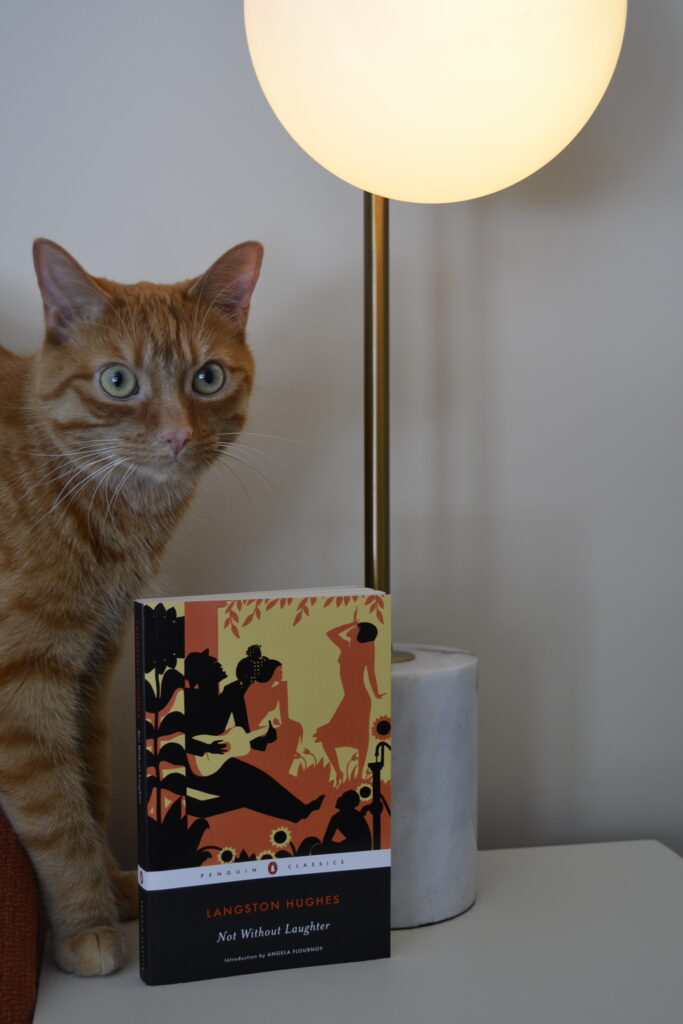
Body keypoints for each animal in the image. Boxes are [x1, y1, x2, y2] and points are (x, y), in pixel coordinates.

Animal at [0, 237, 262, 974]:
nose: (176, 437)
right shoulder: (21, 687)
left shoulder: (93, 667)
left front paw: (119, 889)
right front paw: (86, 923)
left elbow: (89, 782)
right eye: (118, 382)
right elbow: (55, 812)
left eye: (208, 377)